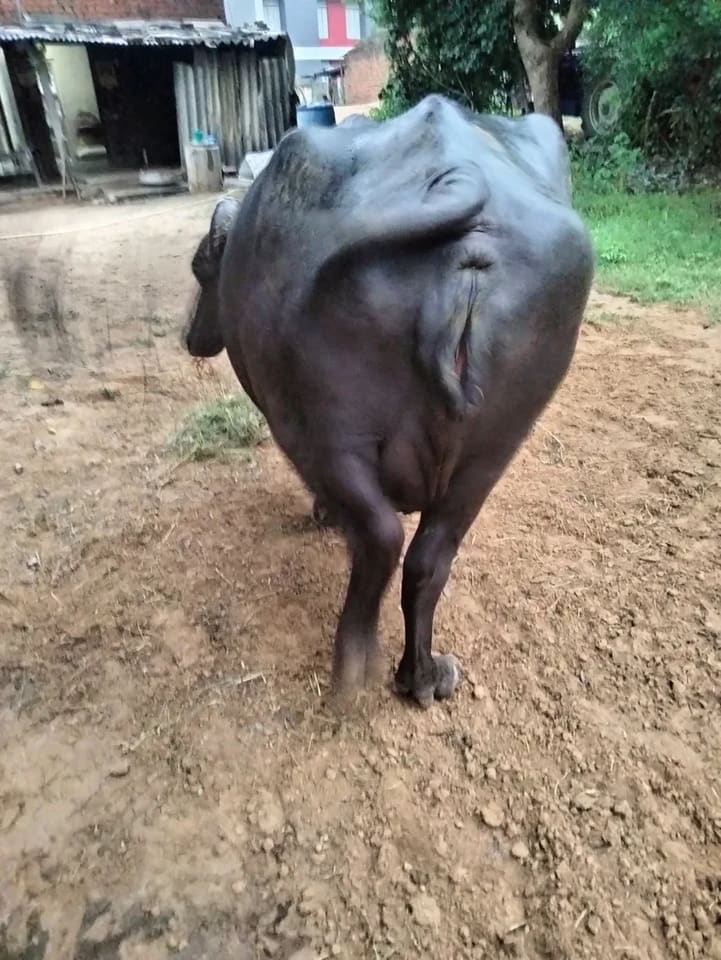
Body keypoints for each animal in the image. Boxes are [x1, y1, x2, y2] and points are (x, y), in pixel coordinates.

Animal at [184, 95, 594, 708]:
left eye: (199, 267)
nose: (192, 336)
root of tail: (455, 179)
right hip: (493, 450)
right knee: (428, 558)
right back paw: (422, 676)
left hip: (325, 430)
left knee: (379, 538)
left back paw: (353, 673)